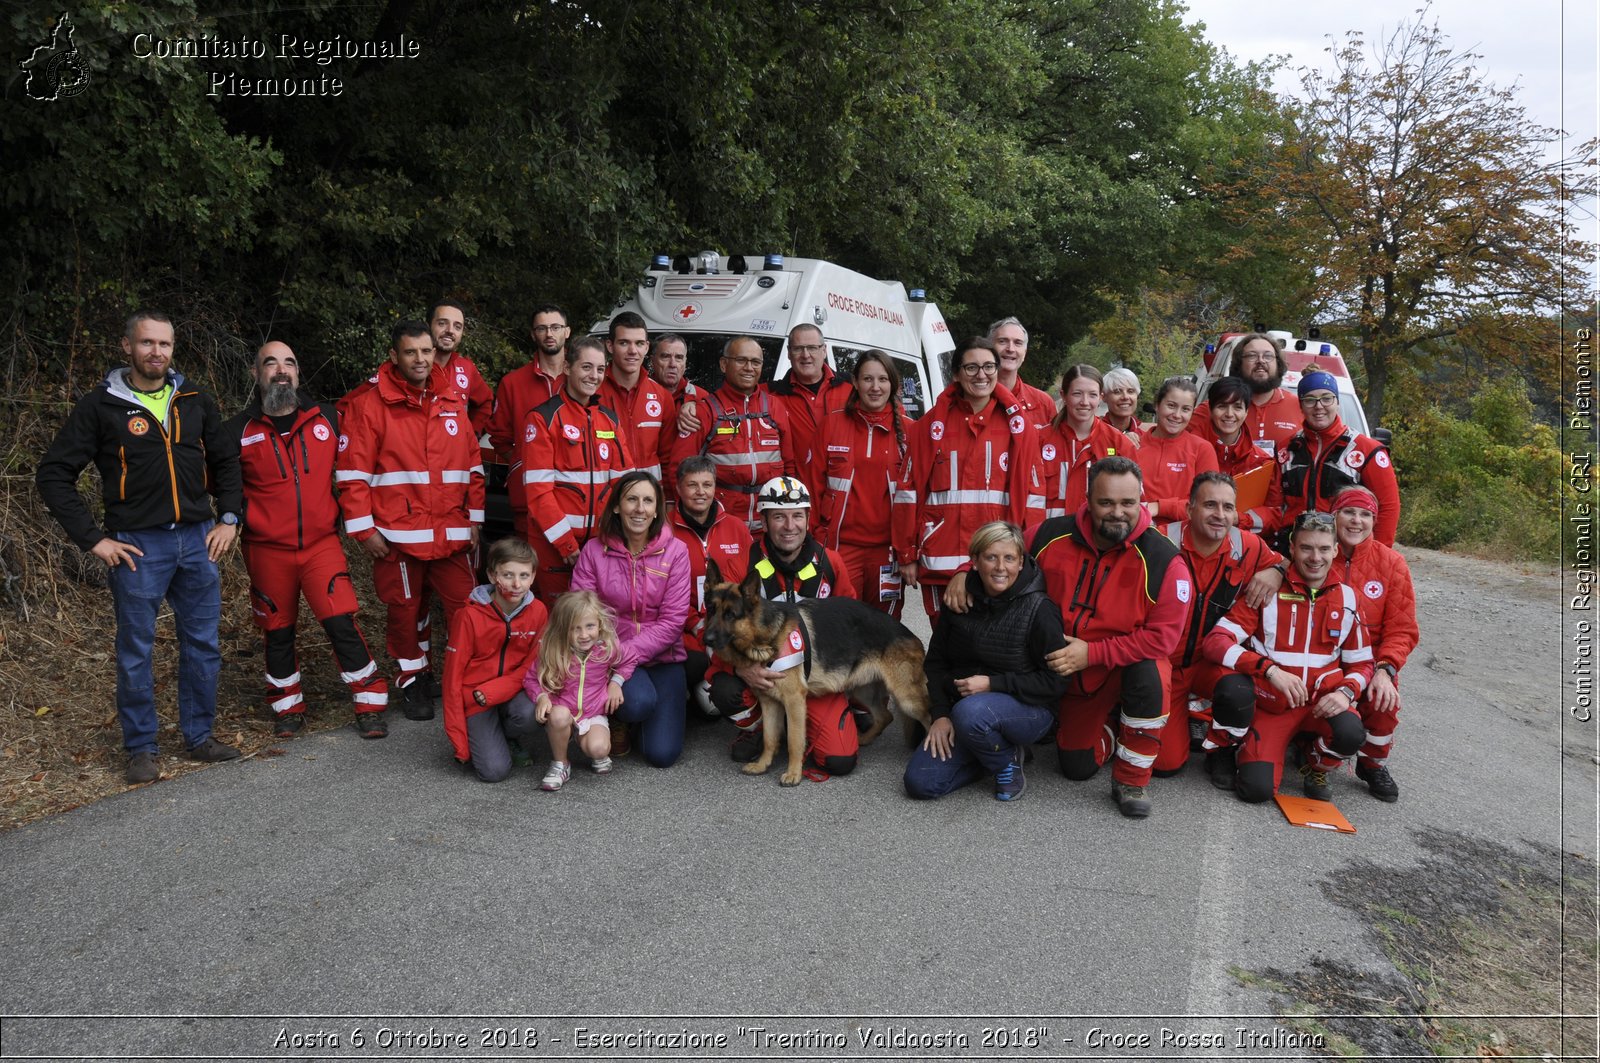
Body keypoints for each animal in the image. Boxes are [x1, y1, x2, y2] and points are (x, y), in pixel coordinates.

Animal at [707, 560, 934, 784]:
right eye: (710, 609)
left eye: (730, 614)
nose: (706, 639)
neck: (766, 637)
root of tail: (910, 635)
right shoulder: (769, 702)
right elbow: (770, 738)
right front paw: (762, 765)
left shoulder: (794, 701)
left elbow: (794, 740)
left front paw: (794, 773)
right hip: (863, 691)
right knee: (885, 716)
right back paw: (865, 738)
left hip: (907, 699)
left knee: (930, 718)